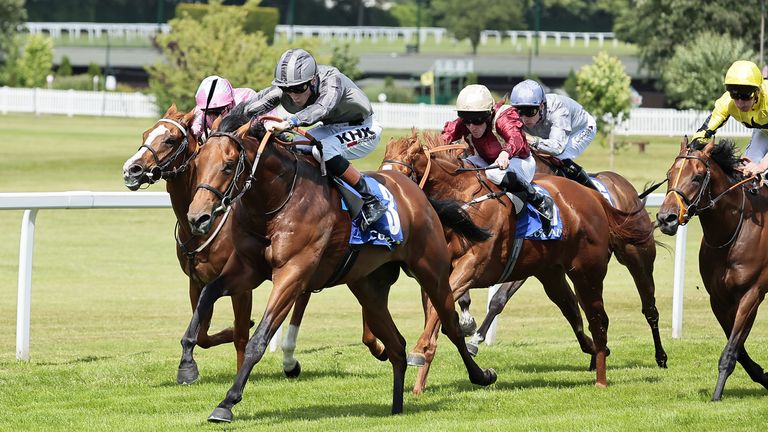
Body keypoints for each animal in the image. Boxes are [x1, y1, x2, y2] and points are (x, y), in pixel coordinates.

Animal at [179, 109, 496, 422]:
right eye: (198, 162)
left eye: (228, 165)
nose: (197, 218)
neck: (277, 200)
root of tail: (416, 193)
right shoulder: (246, 269)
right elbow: (207, 296)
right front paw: (187, 366)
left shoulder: (292, 274)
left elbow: (258, 340)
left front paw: (227, 402)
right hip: (368, 286)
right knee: (397, 345)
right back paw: (396, 407)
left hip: (432, 271)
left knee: (450, 326)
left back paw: (482, 376)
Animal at [384, 131, 656, 392]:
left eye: (404, 173)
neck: (462, 204)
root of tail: (594, 196)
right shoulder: (435, 277)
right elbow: (442, 316)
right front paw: (422, 379)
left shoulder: (473, 267)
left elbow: (471, 307)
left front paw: (421, 351)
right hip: (552, 273)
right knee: (573, 311)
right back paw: (596, 351)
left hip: (594, 268)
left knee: (607, 315)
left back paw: (620, 369)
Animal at [656, 137, 768, 400]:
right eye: (669, 174)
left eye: (697, 177)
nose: (666, 218)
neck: (731, 232)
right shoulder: (718, 298)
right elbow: (738, 347)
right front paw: (763, 375)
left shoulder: (752, 293)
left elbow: (732, 349)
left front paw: (717, 395)